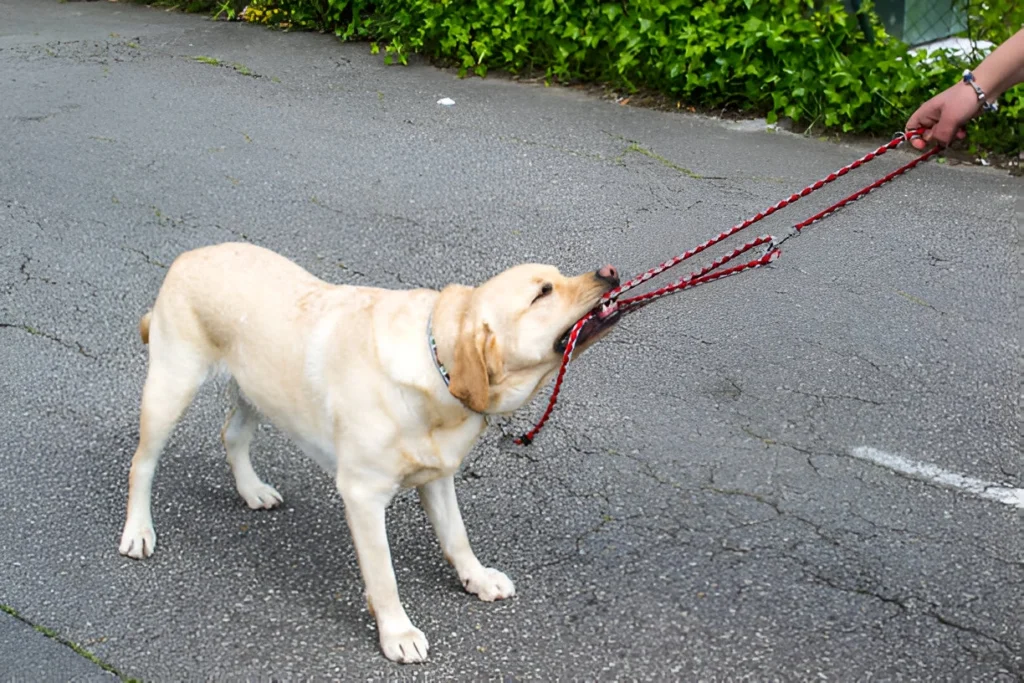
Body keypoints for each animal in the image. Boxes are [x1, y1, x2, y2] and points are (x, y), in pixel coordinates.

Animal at [116, 241, 618, 663]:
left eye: (556, 276)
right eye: (543, 293)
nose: (611, 272)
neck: (436, 366)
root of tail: (188, 255)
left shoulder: (438, 477)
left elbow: (457, 537)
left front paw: (476, 578)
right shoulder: (362, 494)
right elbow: (384, 575)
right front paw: (398, 633)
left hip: (255, 389)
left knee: (232, 436)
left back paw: (252, 490)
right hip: (172, 385)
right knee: (142, 464)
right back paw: (138, 530)